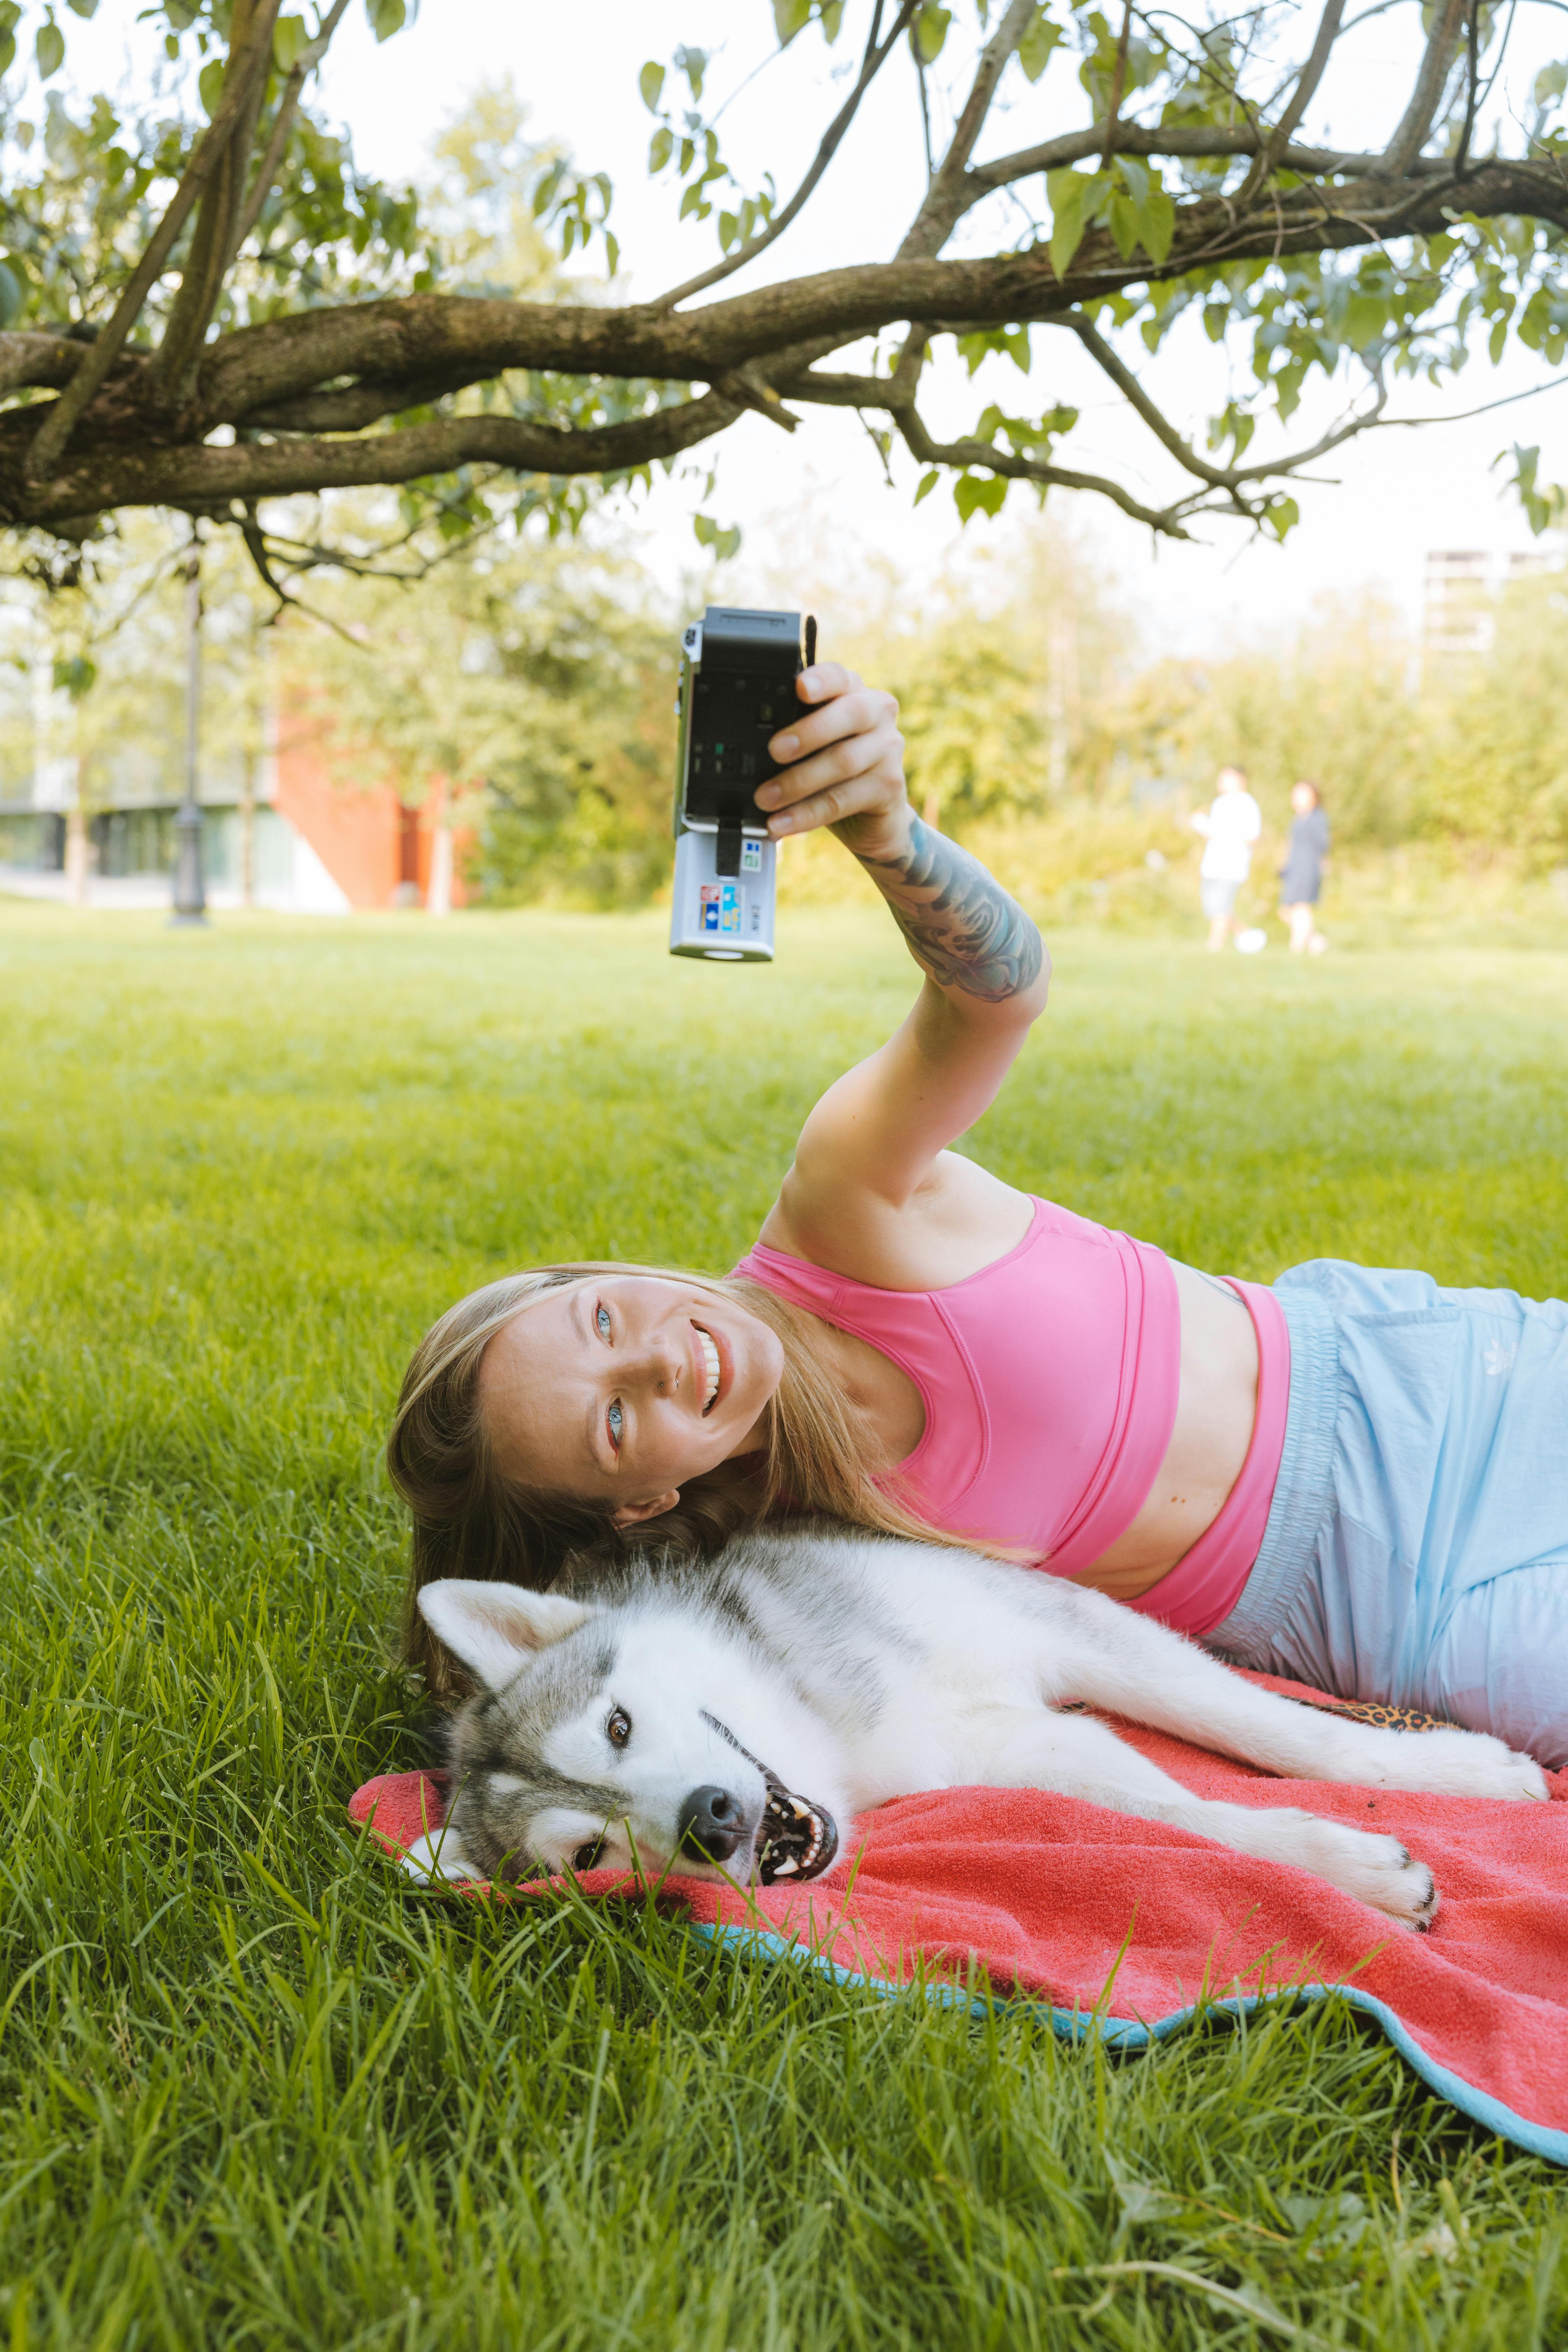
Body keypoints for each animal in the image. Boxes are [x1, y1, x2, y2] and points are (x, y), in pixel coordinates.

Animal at [411, 1514, 1551, 1919]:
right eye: (589, 1854)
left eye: (615, 1726)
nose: (710, 1820)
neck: (825, 1720)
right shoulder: (1025, 1751)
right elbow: (1191, 1817)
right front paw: (1352, 1868)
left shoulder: (1066, 1619)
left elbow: (1275, 1728)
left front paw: (1453, 1774)